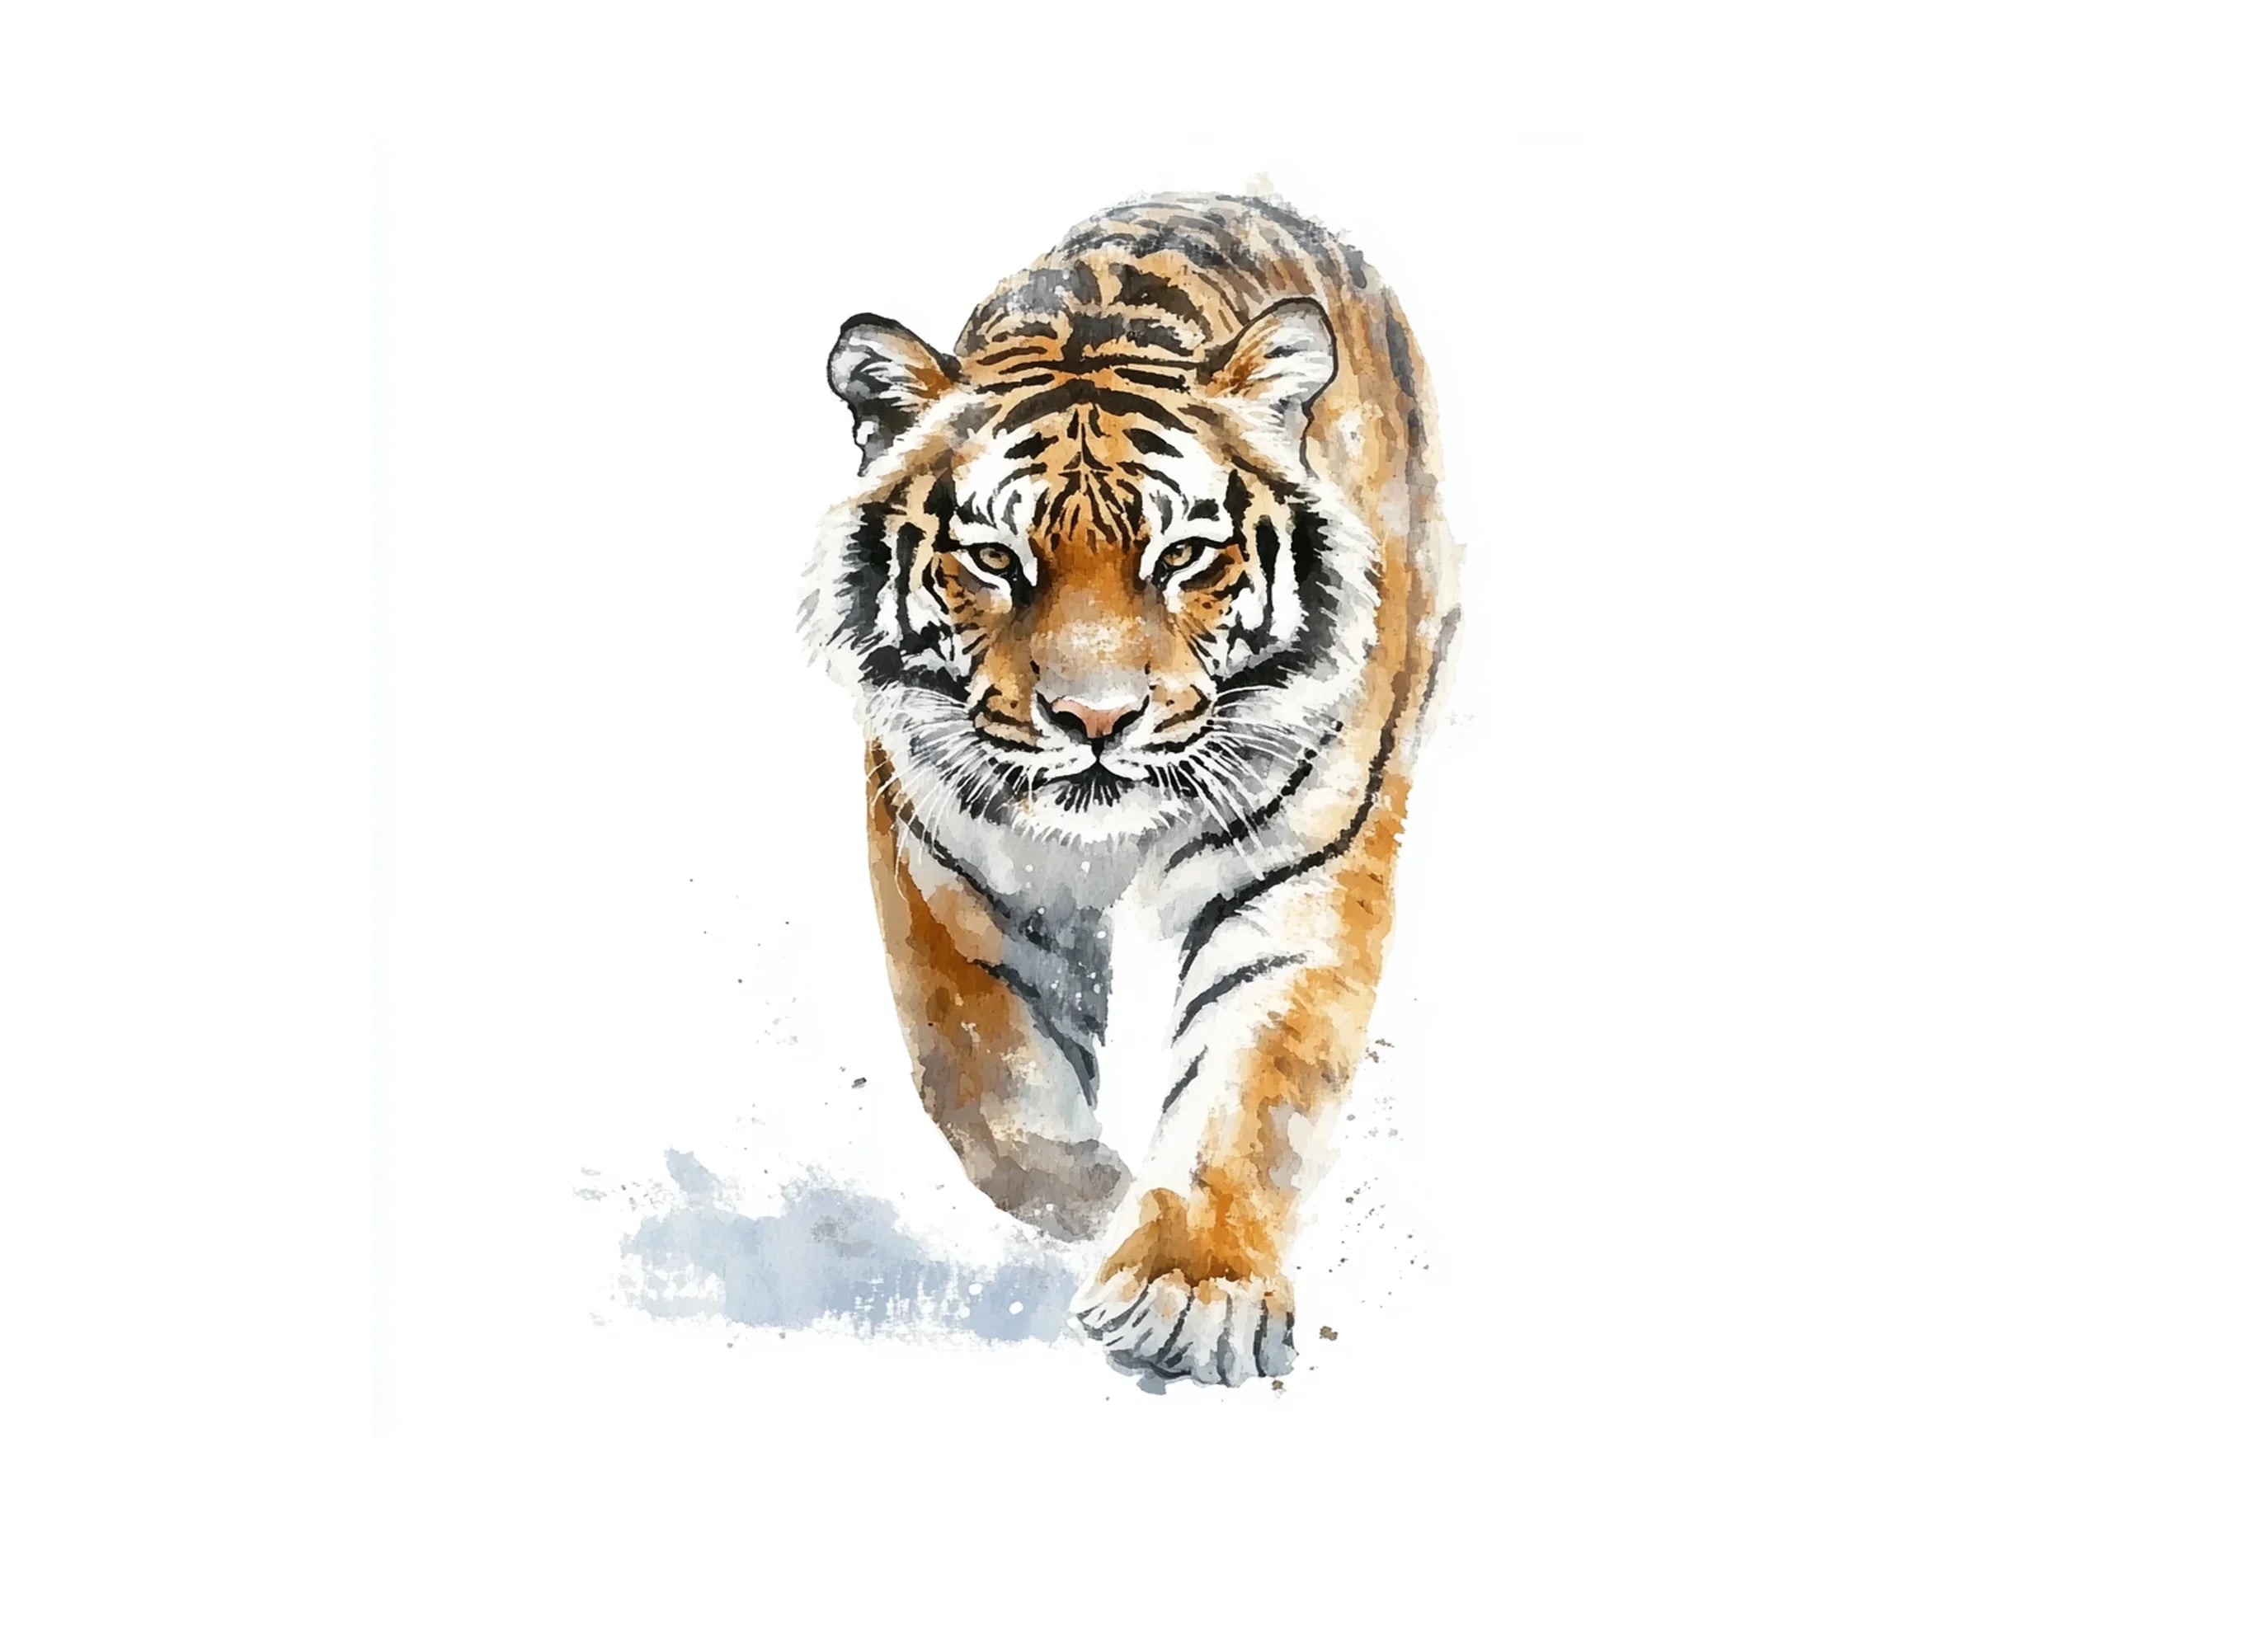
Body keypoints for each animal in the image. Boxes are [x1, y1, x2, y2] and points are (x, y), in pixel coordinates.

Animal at [802, 191, 1458, 1385]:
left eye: (1183, 555)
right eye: (996, 559)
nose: (1096, 719)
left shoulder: (1297, 874)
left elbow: (1252, 1086)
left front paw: (1190, 1290)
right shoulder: (943, 855)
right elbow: (979, 1073)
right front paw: (1091, 1197)